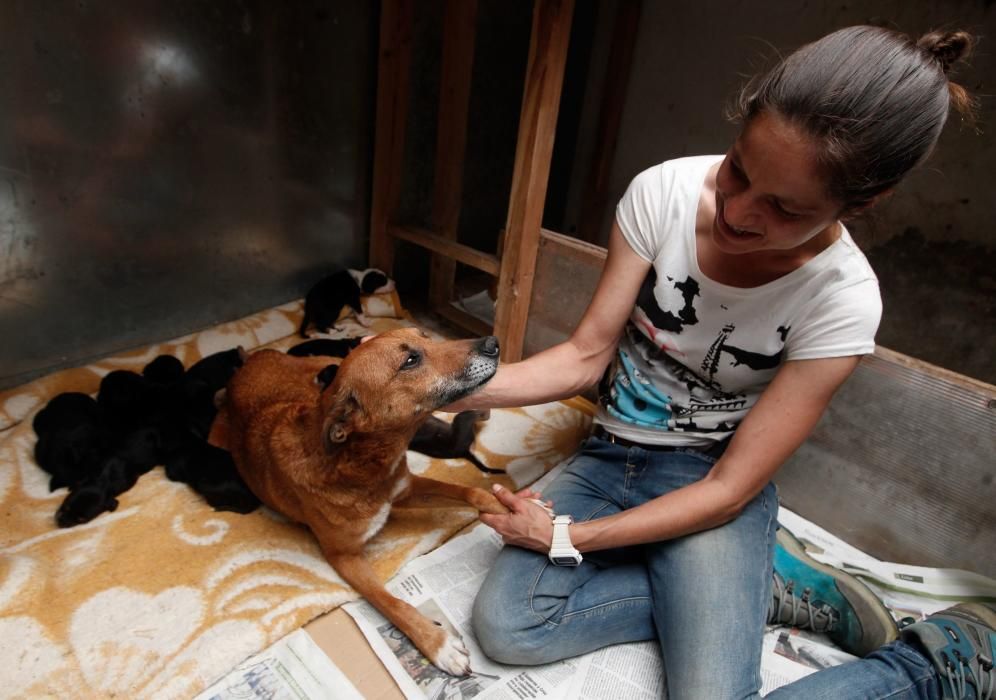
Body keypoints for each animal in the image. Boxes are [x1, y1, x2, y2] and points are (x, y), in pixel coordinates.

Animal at [208, 326, 506, 672]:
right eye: (410, 361)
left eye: (427, 337)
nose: (493, 343)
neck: (363, 464)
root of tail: (251, 361)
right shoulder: (344, 557)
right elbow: (390, 602)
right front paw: (437, 642)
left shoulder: (405, 490)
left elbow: (472, 491)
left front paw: (514, 509)